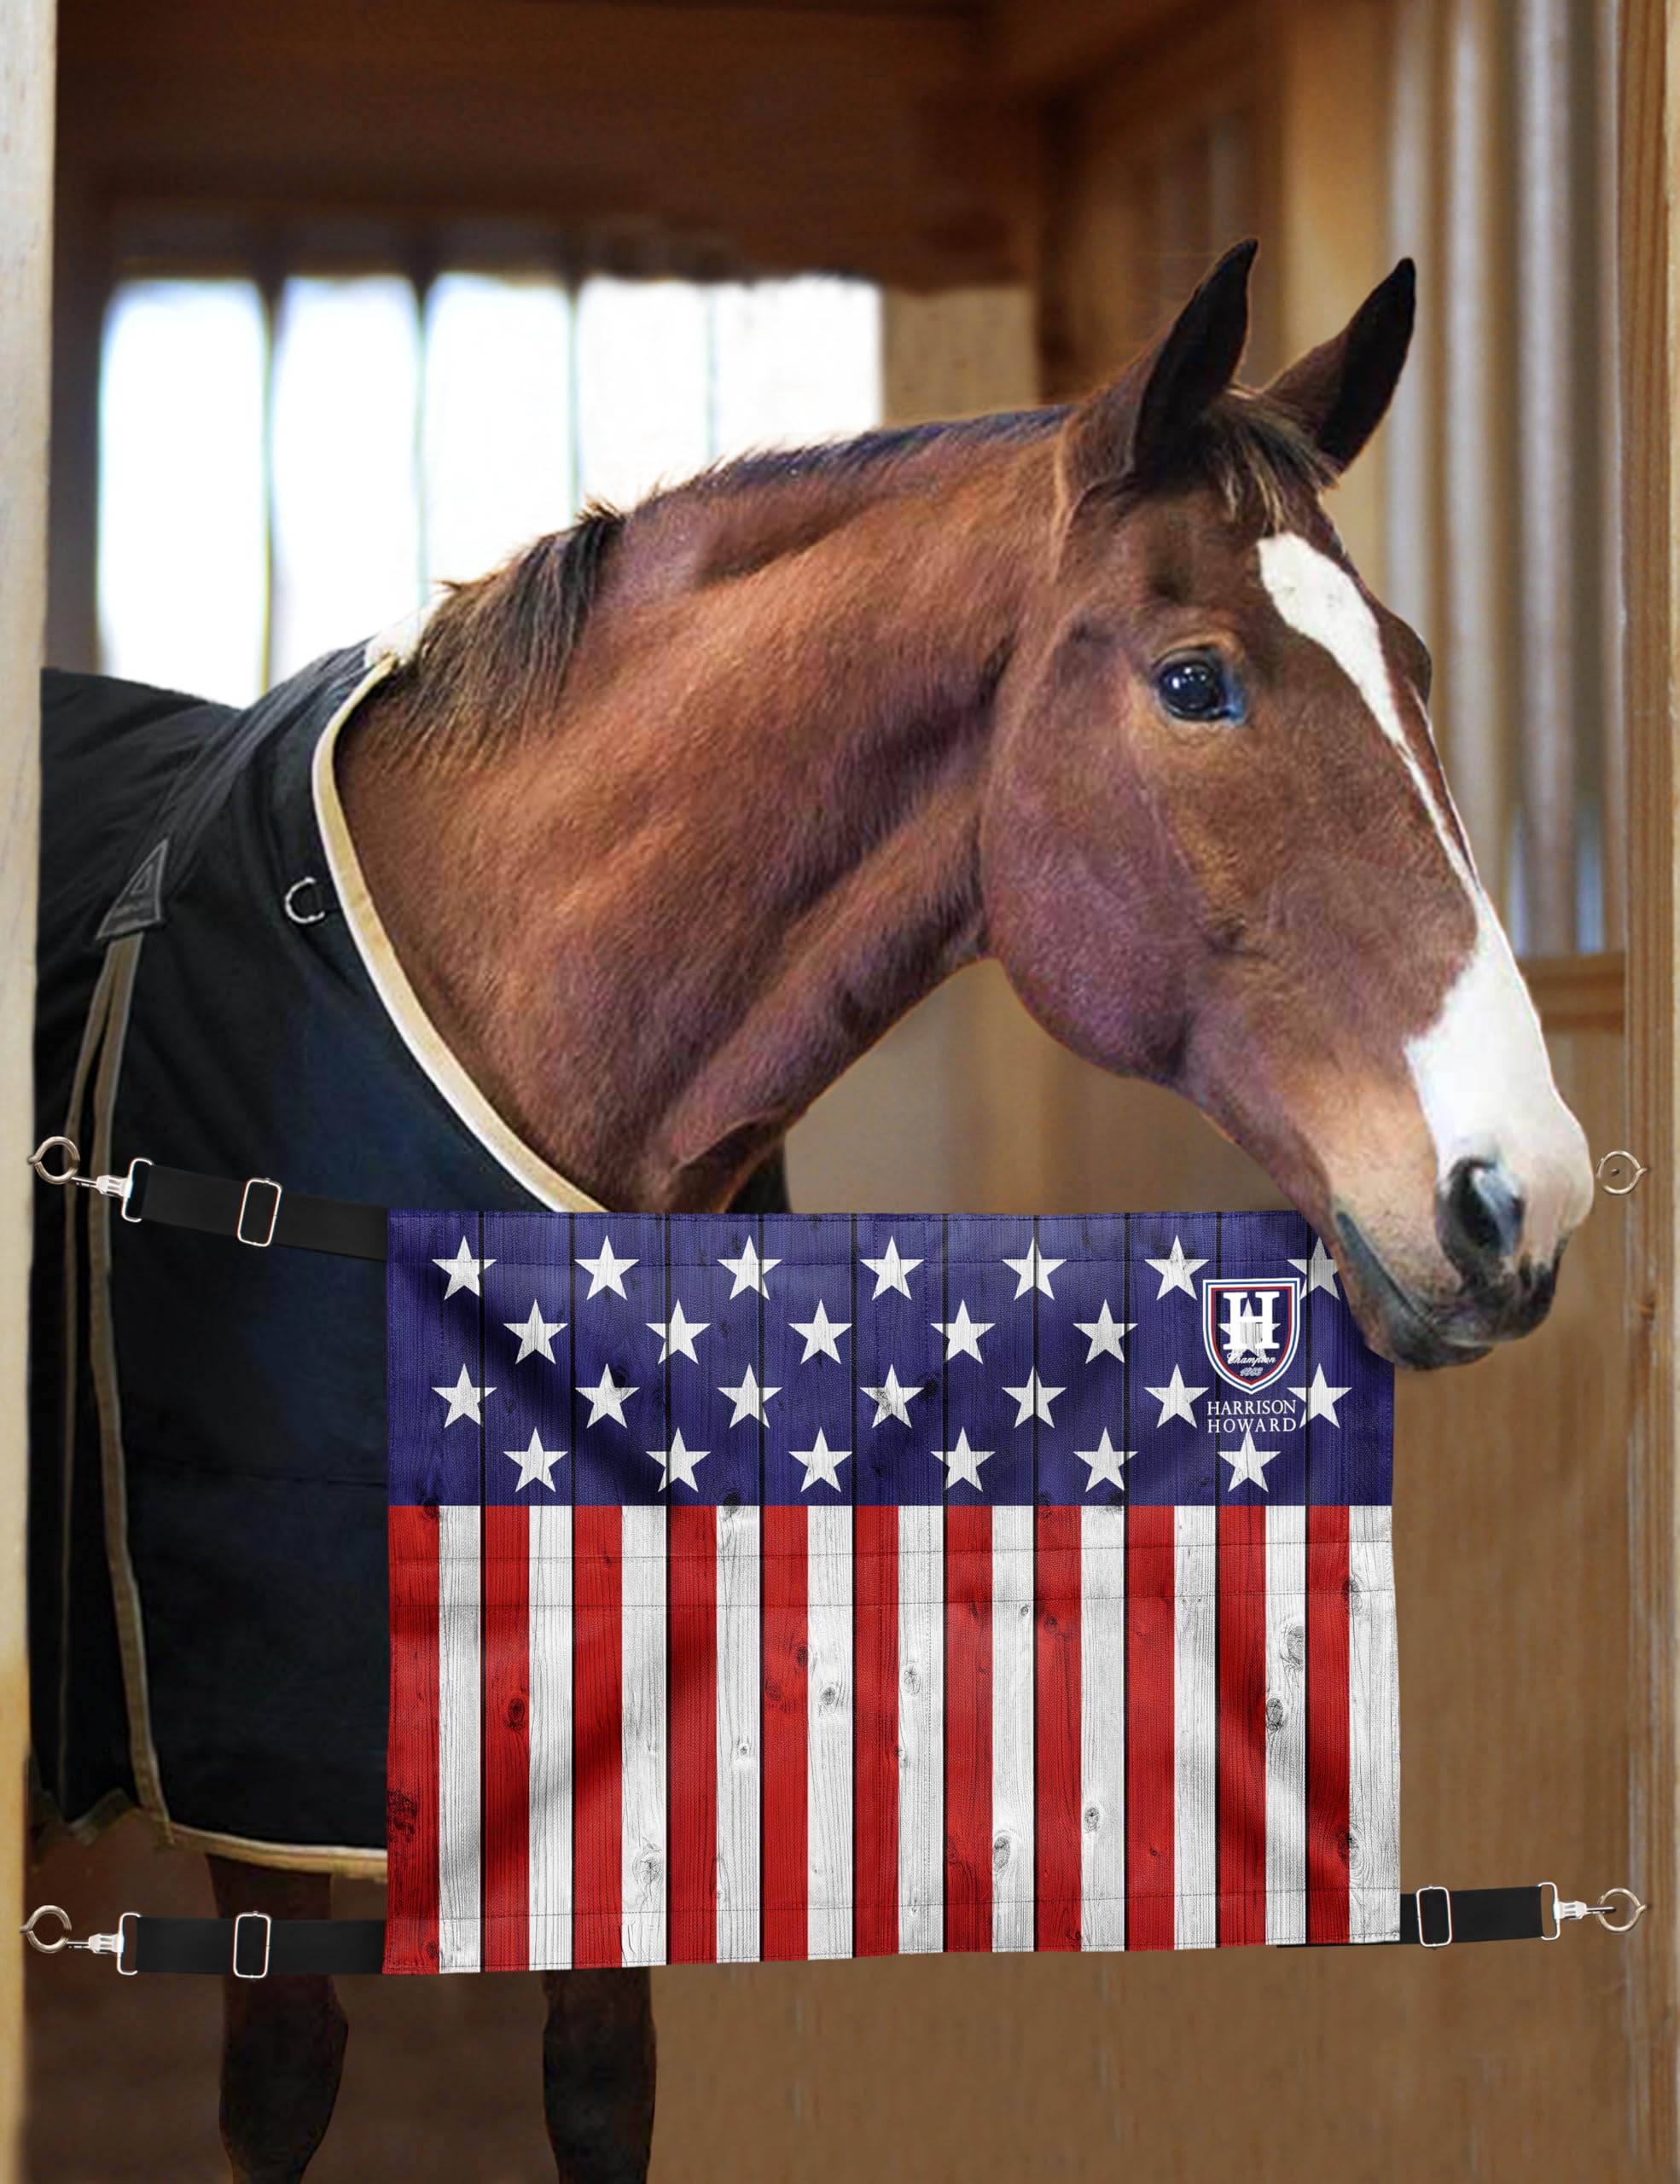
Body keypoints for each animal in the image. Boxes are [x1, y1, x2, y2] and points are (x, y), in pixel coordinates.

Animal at [33, 237, 1592, 2180]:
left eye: (1415, 662)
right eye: (1195, 682)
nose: (1520, 1190)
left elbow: (602, 2073)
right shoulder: (259, 1751)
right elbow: (283, 2079)